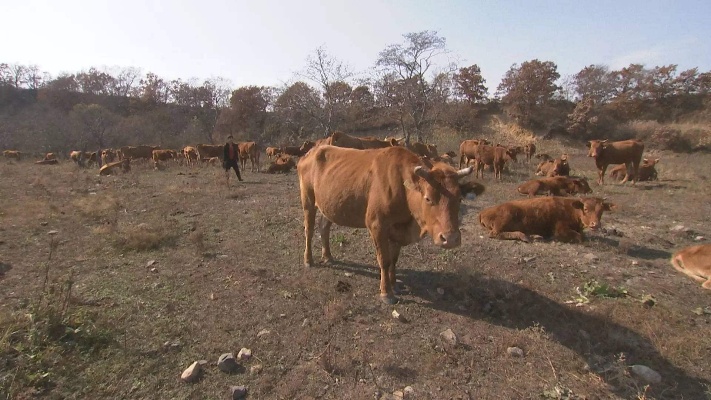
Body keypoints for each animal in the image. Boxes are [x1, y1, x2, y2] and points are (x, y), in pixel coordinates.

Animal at [298, 145, 486, 304]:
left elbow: (394, 260)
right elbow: (384, 260)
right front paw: (386, 292)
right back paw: (308, 260)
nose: (451, 238)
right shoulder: (377, 226)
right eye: (428, 198)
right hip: (308, 200)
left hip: (328, 205)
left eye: (459, 198)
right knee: (309, 229)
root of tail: (313, 150)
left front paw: (394, 284)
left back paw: (328, 256)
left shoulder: (397, 229)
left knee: (324, 227)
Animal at [478, 197, 616, 244]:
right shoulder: (560, 229)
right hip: (503, 220)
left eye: (601, 211)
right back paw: (526, 236)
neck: (572, 210)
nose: (595, 224)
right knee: (495, 234)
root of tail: (483, 211)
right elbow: (579, 237)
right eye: (585, 209)